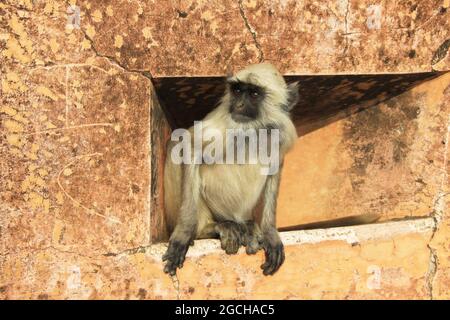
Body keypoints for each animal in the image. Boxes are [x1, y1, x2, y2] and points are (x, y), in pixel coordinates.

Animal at [162, 62, 298, 276]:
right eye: (237, 90)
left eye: (254, 94)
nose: (239, 105)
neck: (252, 129)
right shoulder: (224, 122)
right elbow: (189, 144)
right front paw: (183, 233)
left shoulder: (280, 132)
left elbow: (275, 166)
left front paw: (270, 233)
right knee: (176, 144)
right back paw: (210, 228)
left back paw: (247, 227)